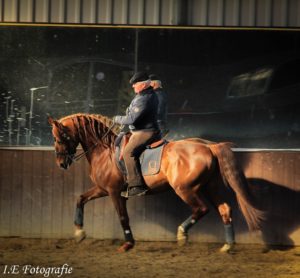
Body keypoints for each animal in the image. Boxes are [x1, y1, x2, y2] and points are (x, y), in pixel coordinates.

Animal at [47, 112, 262, 252]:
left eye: (59, 137)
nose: (61, 163)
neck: (105, 150)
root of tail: (208, 146)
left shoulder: (114, 192)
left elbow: (123, 217)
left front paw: (128, 243)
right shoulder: (102, 188)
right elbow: (80, 198)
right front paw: (79, 232)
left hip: (185, 189)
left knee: (201, 209)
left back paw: (182, 234)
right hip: (211, 186)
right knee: (224, 209)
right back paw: (227, 246)